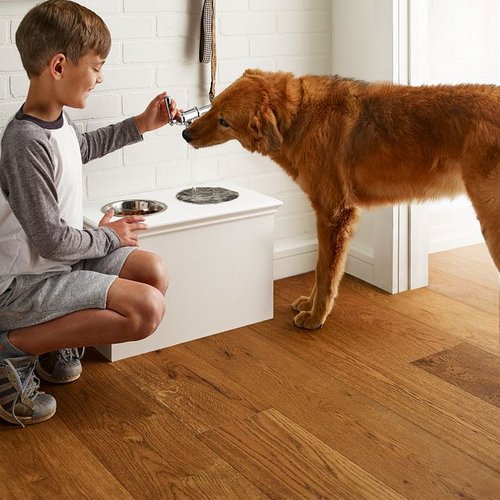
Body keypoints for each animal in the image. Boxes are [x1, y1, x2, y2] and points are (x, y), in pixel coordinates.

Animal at [184, 69, 500, 328]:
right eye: (213, 106)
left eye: (224, 121)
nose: (185, 133)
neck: (299, 116)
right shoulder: (326, 217)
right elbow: (318, 268)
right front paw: (309, 305)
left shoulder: (333, 213)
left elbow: (326, 273)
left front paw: (315, 318)